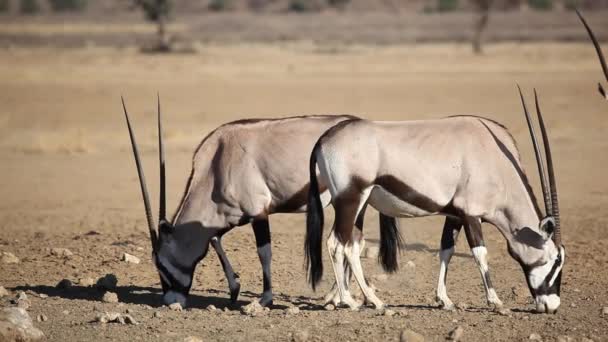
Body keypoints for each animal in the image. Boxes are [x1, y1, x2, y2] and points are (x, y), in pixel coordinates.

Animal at [121, 97, 402, 308]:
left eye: (160, 263)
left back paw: (337, 296)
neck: (216, 163)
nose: (171, 301)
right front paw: (234, 288)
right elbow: (215, 239)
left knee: (351, 241)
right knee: (351, 241)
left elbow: (263, 253)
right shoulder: (230, 216)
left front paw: (265, 299)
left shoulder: (258, 212)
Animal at [308, 87, 564, 312]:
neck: (495, 159)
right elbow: (480, 254)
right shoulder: (472, 215)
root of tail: (323, 139)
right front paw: (495, 301)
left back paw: (370, 300)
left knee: (352, 246)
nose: (552, 306)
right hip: (350, 200)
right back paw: (349, 301)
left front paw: (444, 300)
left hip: (360, 204)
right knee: (336, 243)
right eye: (555, 260)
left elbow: (446, 251)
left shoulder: (455, 215)